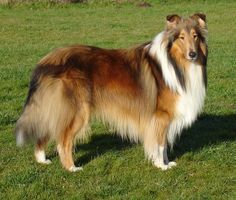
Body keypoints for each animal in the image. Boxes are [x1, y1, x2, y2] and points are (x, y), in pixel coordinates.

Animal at [14, 13, 207, 171]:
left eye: (195, 36)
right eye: (181, 37)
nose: (193, 54)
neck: (175, 64)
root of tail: (46, 60)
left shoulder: (164, 118)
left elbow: (164, 144)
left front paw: (166, 162)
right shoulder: (160, 116)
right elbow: (160, 144)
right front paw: (162, 166)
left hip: (56, 107)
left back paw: (42, 159)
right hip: (77, 111)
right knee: (64, 140)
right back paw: (71, 168)